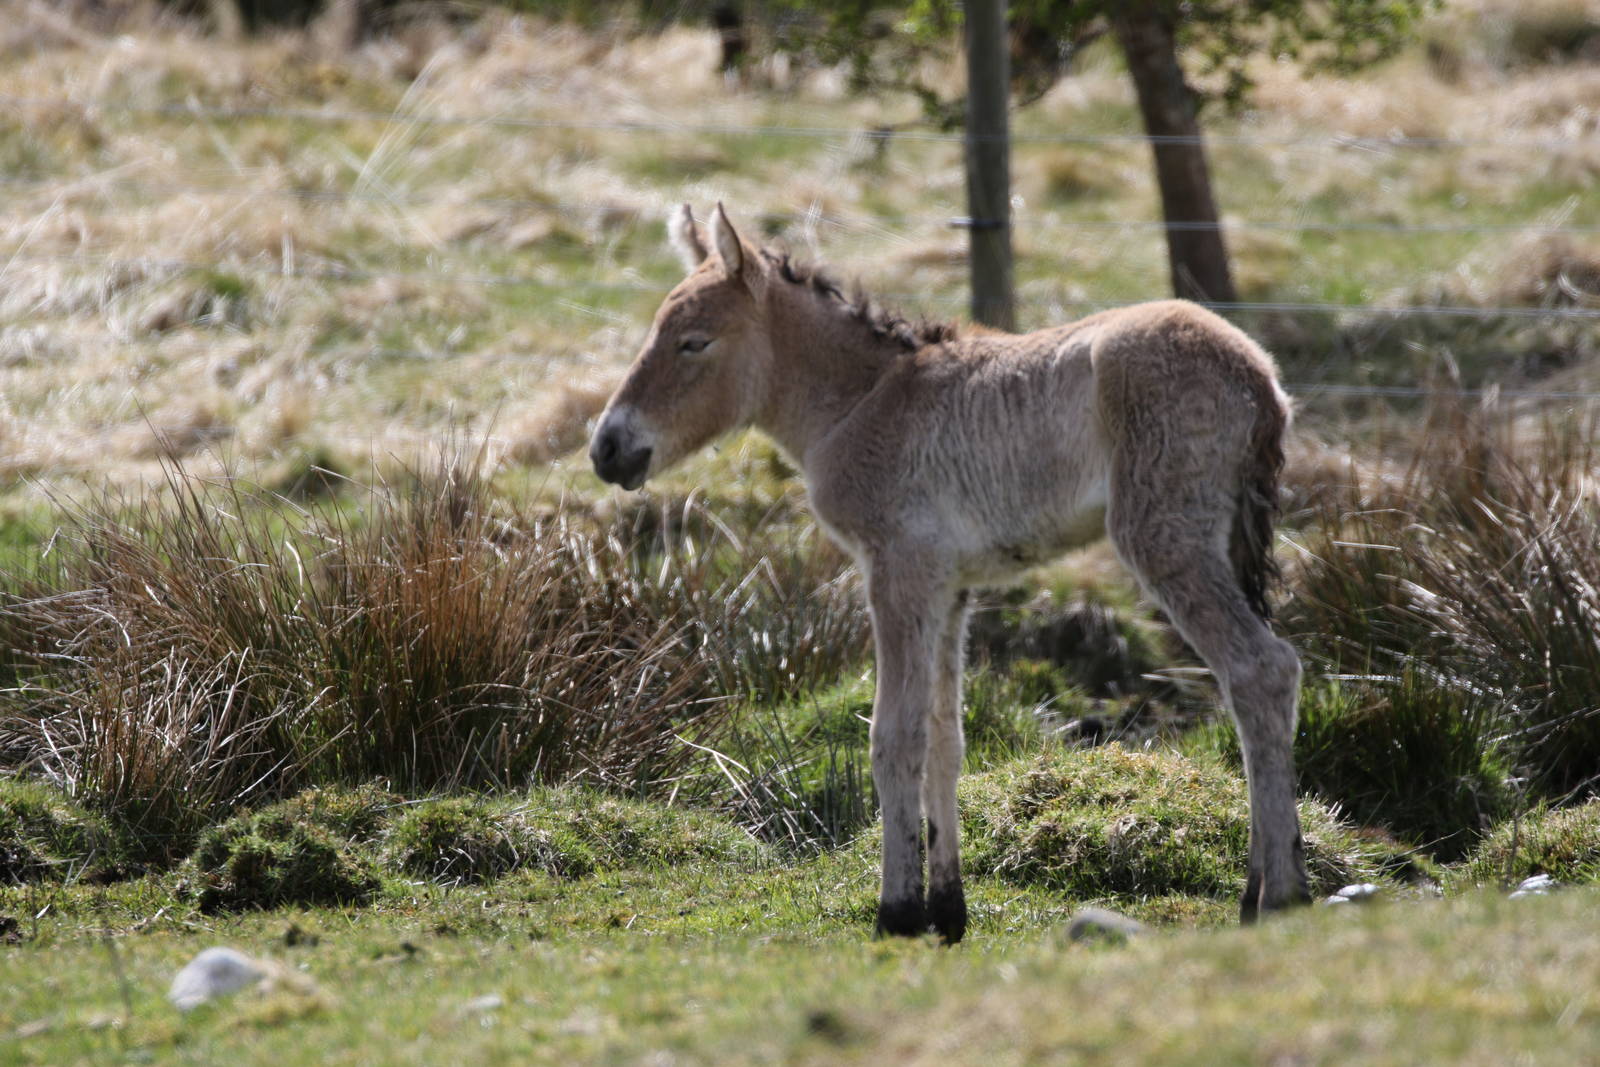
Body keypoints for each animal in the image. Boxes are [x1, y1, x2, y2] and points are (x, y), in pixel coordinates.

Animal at [590, 203, 1308, 943]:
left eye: (693, 343)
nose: (606, 448)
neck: (862, 399)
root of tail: (1259, 374)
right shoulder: (949, 588)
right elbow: (944, 737)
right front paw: (946, 907)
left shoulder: (897, 569)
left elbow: (893, 735)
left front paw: (898, 910)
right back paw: (1268, 882)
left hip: (1165, 538)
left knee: (1261, 669)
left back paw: (1279, 895)